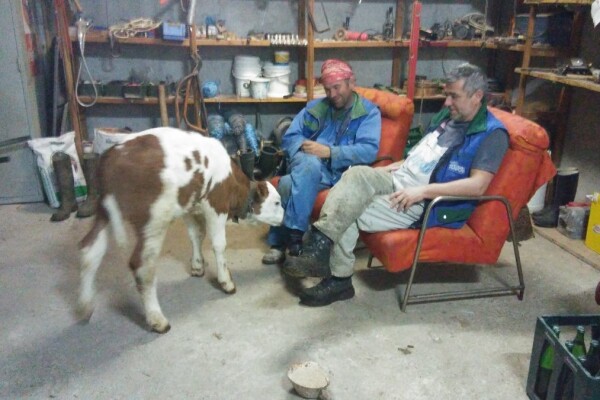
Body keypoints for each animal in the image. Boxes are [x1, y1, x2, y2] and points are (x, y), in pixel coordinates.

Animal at [77, 127, 284, 333]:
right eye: (277, 202)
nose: (285, 217)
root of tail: (113, 154)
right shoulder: (216, 205)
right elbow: (219, 244)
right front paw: (226, 281)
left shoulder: (190, 208)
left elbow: (196, 235)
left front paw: (197, 266)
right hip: (153, 221)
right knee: (142, 265)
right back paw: (157, 319)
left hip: (104, 212)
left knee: (90, 250)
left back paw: (86, 306)